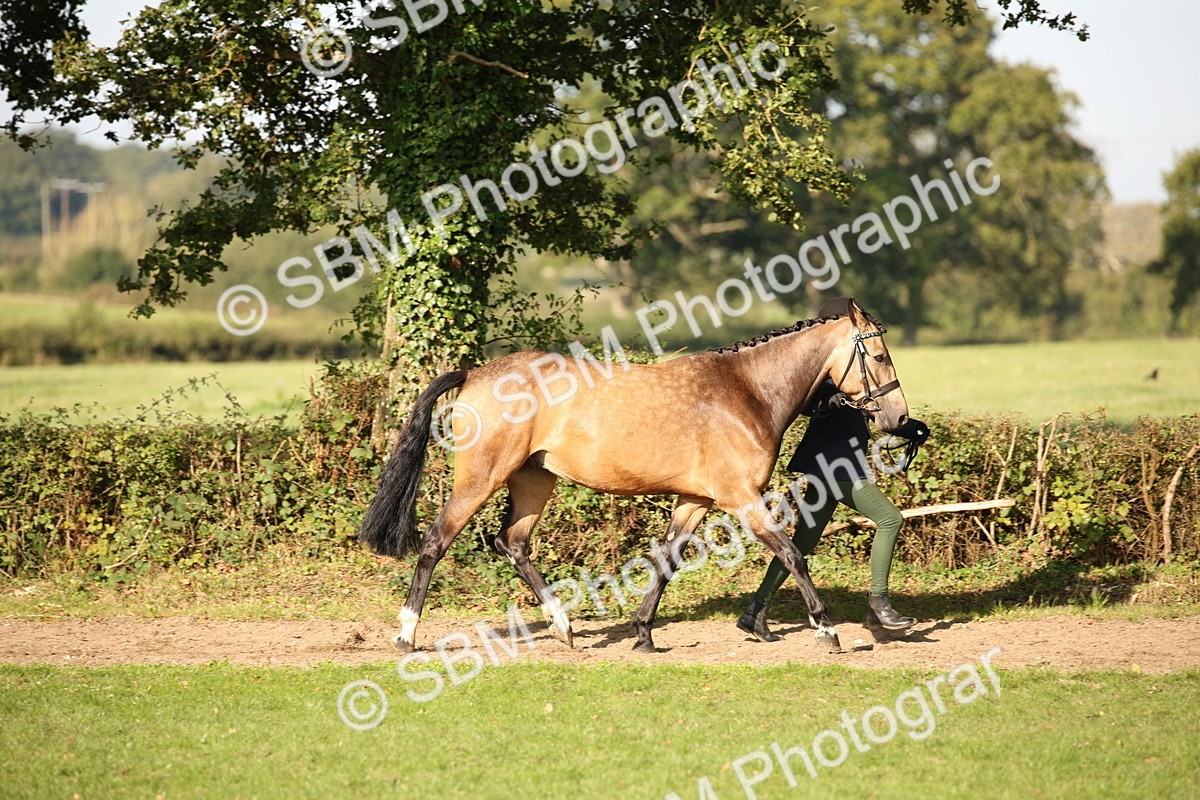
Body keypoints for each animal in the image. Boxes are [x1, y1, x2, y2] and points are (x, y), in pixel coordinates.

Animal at [359, 296, 909, 654]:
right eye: (880, 355)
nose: (899, 418)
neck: (747, 391)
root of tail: (475, 373)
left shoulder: (695, 501)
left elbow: (666, 561)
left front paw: (643, 634)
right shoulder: (742, 498)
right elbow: (793, 554)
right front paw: (827, 631)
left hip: (534, 480)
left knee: (512, 543)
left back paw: (564, 627)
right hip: (481, 478)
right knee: (436, 541)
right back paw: (406, 635)